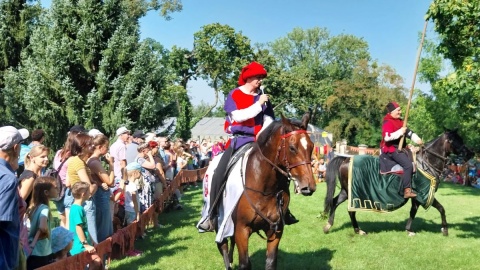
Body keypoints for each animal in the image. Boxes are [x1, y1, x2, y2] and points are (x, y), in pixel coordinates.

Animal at [217, 113, 316, 268]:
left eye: (311, 147)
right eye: (292, 148)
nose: (309, 186)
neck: (264, 189)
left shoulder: (275, 231)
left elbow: (270, 262)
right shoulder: (241, 230)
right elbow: (244, 263)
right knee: (224, 248)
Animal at [322, 129, 472, 236]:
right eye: (455, 140)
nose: (470, 153)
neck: (425, 162)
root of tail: (345, 159)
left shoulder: (416, 197)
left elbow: (413, 212)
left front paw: (408, 229)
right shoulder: (424, 194)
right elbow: (441, 208)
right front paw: (445, 229)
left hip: (346, 191)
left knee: (335, 202)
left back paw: (330, 225)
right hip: (354, 192)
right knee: (351, 210)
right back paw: (357, 230)